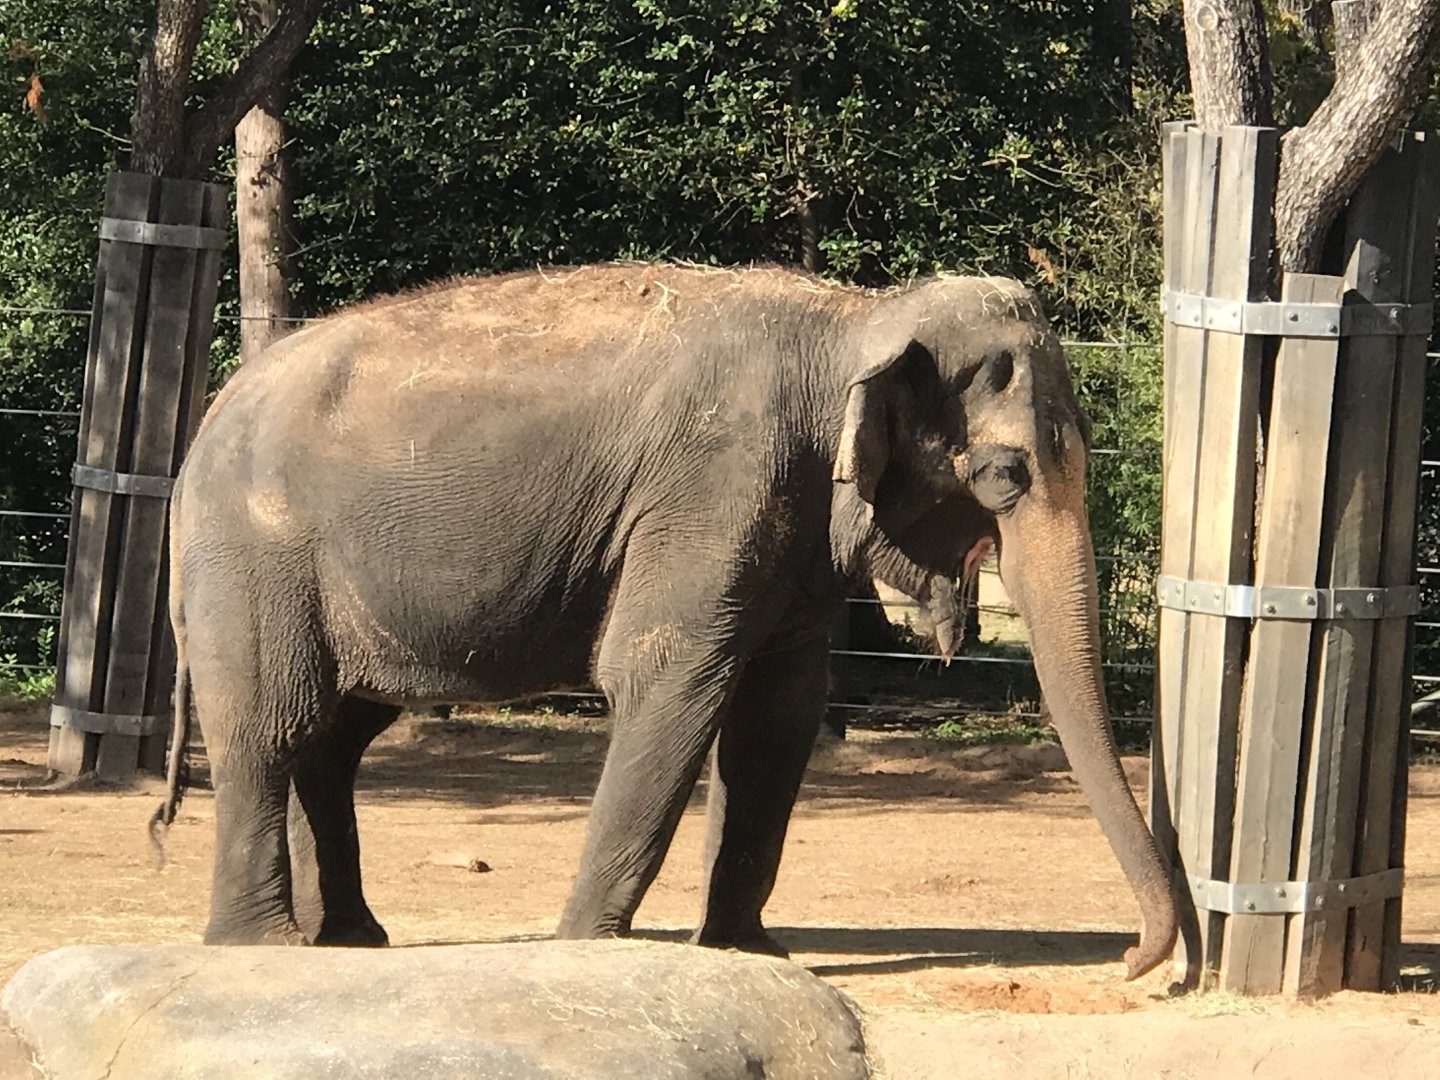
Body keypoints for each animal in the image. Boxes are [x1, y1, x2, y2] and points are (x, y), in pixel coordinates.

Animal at [152, 262, 1178, 979]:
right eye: (1004, 475)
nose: (1131, 961)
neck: (856, 322)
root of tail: (209, 416)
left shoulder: (790, 528)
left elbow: (780, 714)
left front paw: (744, 953)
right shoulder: (714, 489)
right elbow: (667, 678)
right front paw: (585, 947)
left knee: (334, 735)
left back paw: (352, 940)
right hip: (254, 556)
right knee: (271, 724)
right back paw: (263, 947)